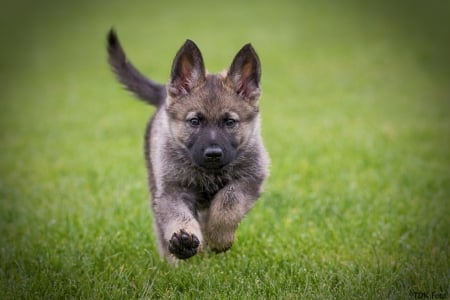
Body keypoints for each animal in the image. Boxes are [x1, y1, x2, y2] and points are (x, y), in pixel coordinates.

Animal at [107, 29, 268, 262]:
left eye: (230, 122)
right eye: (194, 121)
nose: (213, 154)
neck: (209, 174)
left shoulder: (250, 179)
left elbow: (228, 202)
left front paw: (218, 237)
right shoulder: (171, 191)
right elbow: (177, 215)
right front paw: (184, 241)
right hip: (155, 185)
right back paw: (173, 260)